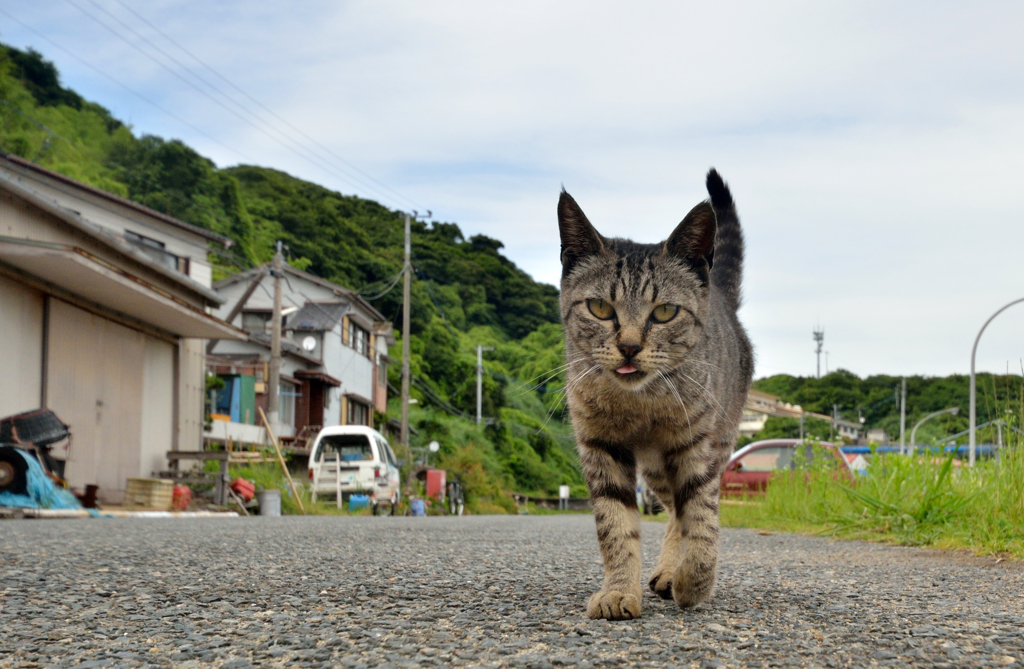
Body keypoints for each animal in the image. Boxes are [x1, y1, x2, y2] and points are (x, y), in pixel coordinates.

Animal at [561, 170, 753, 618]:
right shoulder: (601, 446)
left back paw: (673, 573)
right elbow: (616, 527)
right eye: (599, 308)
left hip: (712, 444)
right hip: (654, 471)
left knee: (681, 513)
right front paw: (618, 590)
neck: (639, 403)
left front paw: (694, 583)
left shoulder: (696, 448)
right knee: (669, 509)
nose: (630, 346)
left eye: (665, 312)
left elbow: (701, 520)